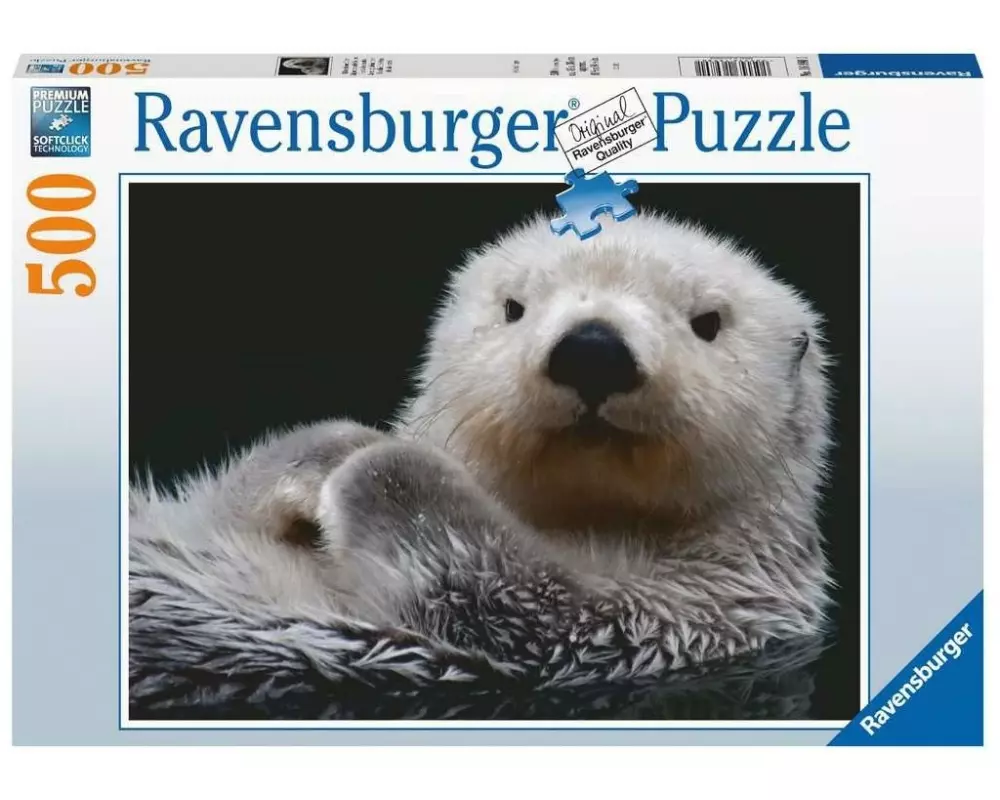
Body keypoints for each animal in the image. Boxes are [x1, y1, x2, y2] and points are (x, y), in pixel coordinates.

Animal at [130, 210, 833, 671]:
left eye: (708, 322)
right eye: (514, 307)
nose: (593, 350)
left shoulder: (681, 614)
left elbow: (503, 587)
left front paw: (376, 460)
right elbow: (217, 501)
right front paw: (327, 450)